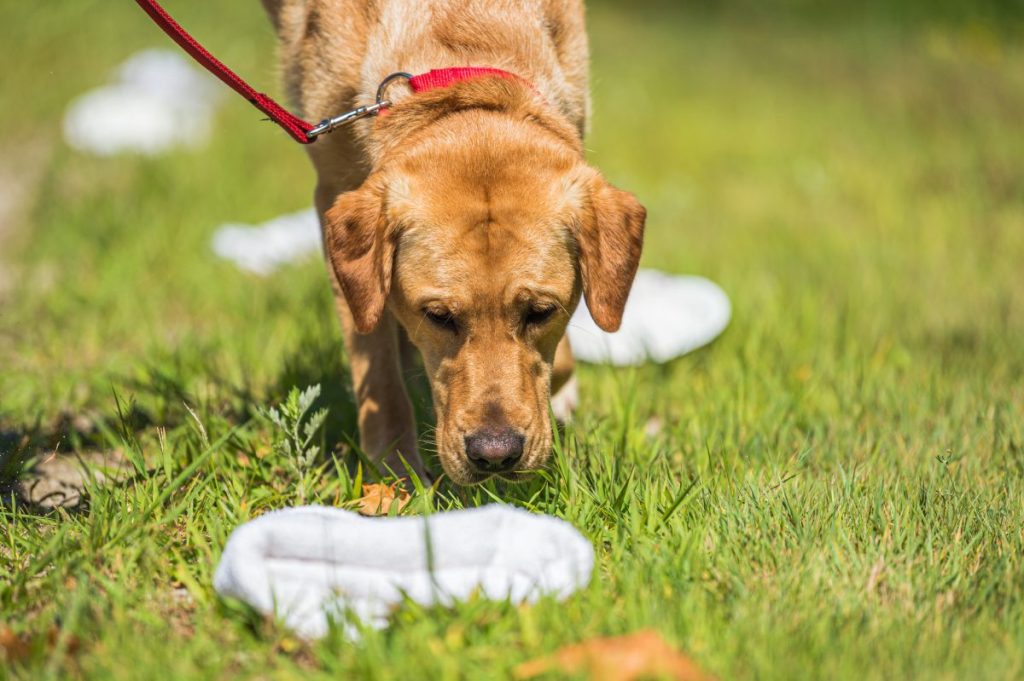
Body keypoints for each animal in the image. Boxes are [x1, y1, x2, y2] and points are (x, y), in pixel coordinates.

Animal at [260, 2, 643, 485]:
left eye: (541, 311)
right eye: (438, 316)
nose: (495, 455)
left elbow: (561, 360)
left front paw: (562, 397)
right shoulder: (334, 194)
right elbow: (377, 364)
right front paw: (398, 471)